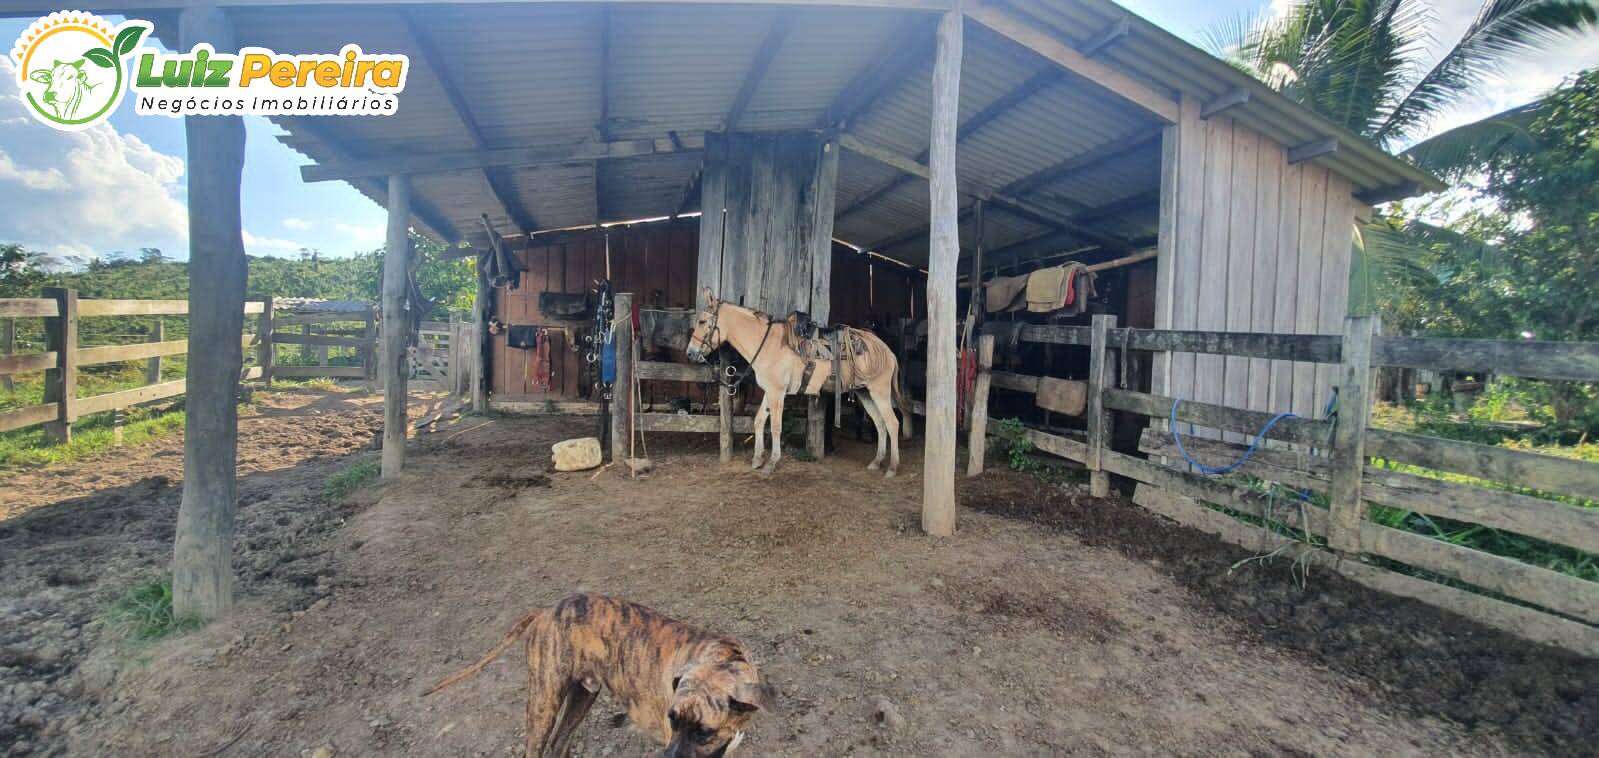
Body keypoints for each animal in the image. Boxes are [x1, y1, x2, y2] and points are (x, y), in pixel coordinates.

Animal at [425, 594, 773, 754]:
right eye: (672, 720)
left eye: (704, 732)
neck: (723, 657)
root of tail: (546, 610)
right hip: (544, 704)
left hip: (581, 697)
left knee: (558, 745)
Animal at [684, 289, 901, 479]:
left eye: (702, 321)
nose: (690, 353)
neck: (769, 345)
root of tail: (887, 350)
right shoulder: (769, 391)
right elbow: (759, 420)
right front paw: (757, 459)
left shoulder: (777, 392)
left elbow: (775, 426)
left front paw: (771, 463)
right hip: (865, 393)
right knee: (880, 424)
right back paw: (876, 462)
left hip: (879, 392)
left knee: (892, 423)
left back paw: (892, 468)